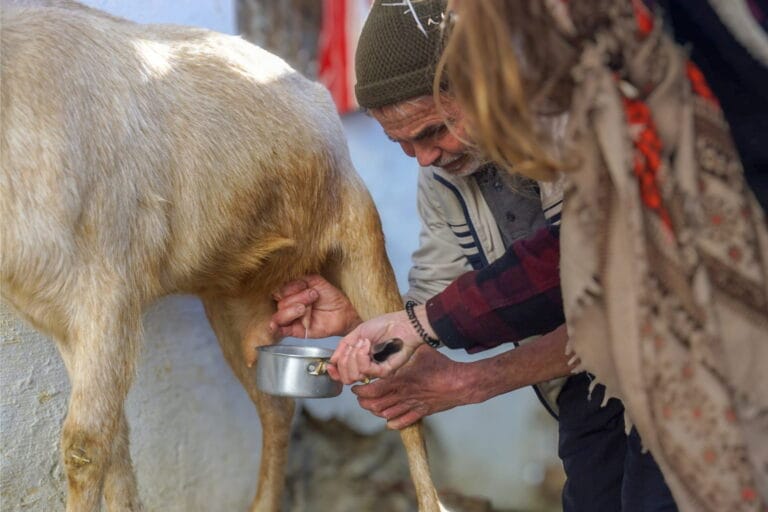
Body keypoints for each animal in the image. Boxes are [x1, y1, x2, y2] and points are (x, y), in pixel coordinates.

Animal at [0, 2, 441, 511]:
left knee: (406, 409)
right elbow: (117, 440)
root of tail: (317, 97)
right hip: (237, 302)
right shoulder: (63, 320)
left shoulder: (109, 294)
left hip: (361, 245)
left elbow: (85, 446)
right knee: (277, 407)